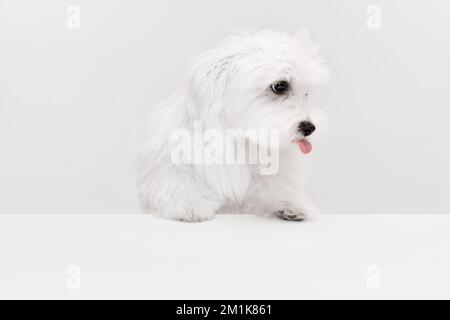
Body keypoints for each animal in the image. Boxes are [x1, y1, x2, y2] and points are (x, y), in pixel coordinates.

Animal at [135, 28, 328, 221]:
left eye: (306, 93)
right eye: (280, 86)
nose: (310, 128)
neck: (240, 138)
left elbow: (273, 190)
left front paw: (290, 204)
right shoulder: (169, 163)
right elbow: (177, 181)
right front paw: (191, 204)